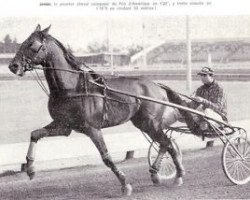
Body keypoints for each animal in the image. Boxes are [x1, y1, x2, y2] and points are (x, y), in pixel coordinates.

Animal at [8, 24, 193, 195]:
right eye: (22, 42)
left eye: (31, 44)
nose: (13, 66)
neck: (72, 88)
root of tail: (157, 84)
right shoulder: (64, 125)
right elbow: (35, 134)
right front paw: (30, 168)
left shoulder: (92, 128)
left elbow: (106, 157)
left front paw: (125, 184)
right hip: (143, 123)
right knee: (164, 143)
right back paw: (157, 173)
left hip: (150, 123)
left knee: (166, 143)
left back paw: (177, 175)